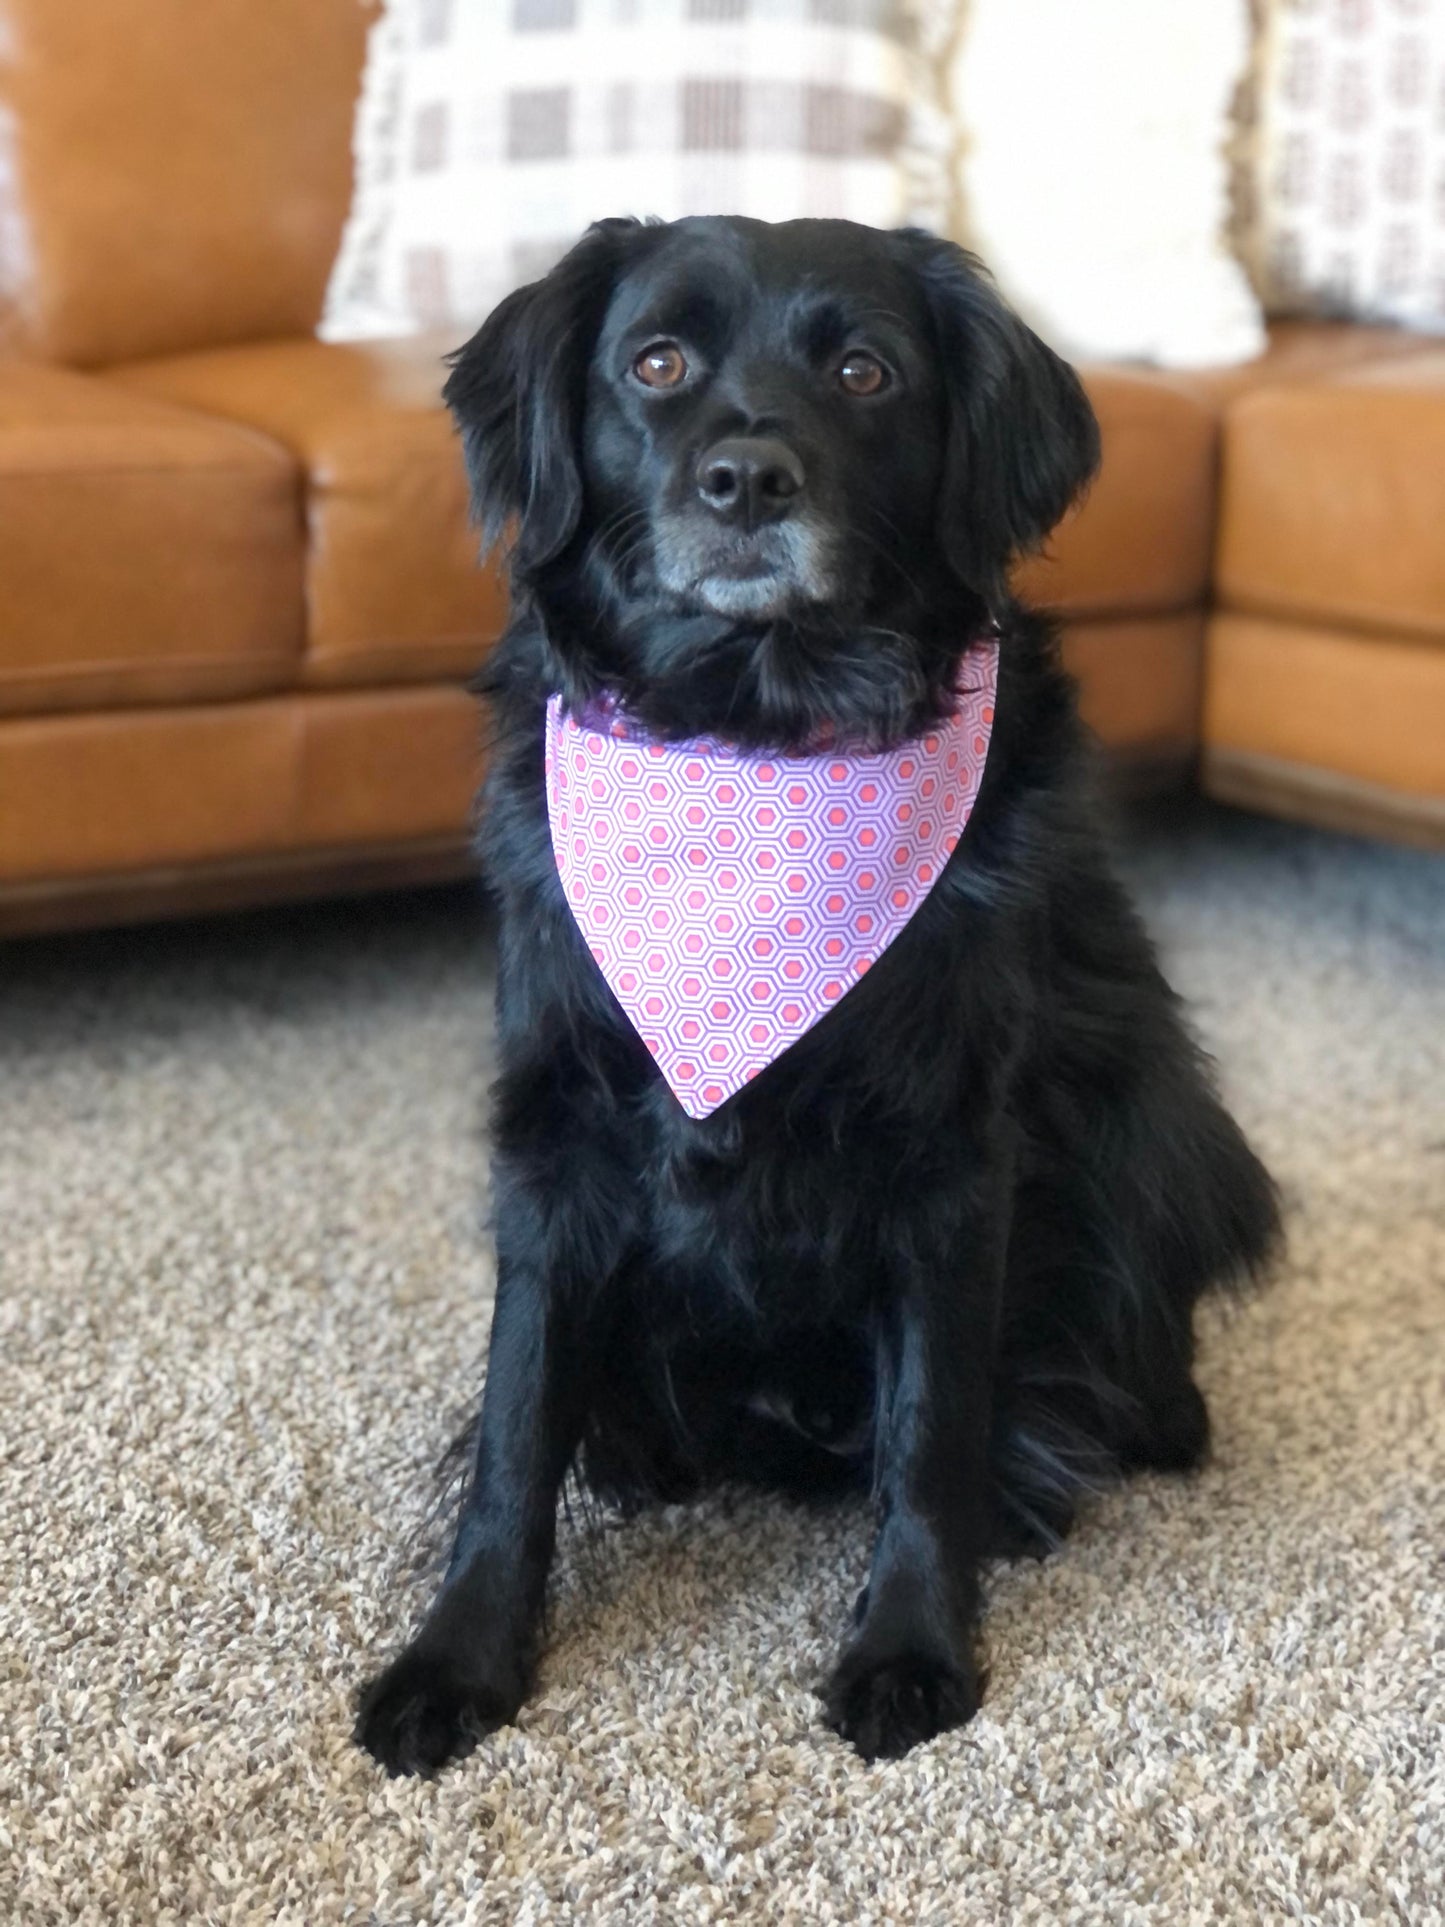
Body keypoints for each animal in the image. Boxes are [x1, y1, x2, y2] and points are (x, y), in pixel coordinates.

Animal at [354, 214, 1279, 1772]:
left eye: (864, 371)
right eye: (656, 362)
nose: (744, 479)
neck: (758, 728)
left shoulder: (953, 1148)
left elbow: (930, 1429)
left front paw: (910, 1646)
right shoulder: (556, 1133)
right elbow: (515, 1425)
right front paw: (459, 1657)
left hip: (1162, 1112)